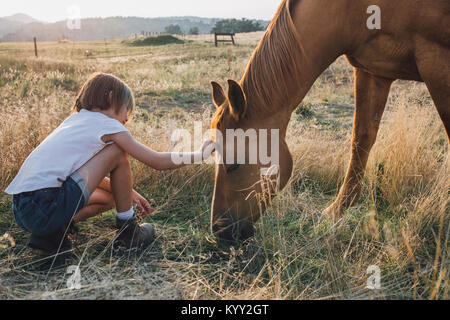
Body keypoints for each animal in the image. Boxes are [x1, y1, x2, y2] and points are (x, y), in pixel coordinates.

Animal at [211, 0, 450, 242]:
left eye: (234, 164)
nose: (219, 230)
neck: (349, 9)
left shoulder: (437, 62)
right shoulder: (372, 71)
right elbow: (361, 140)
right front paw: (338, 209)